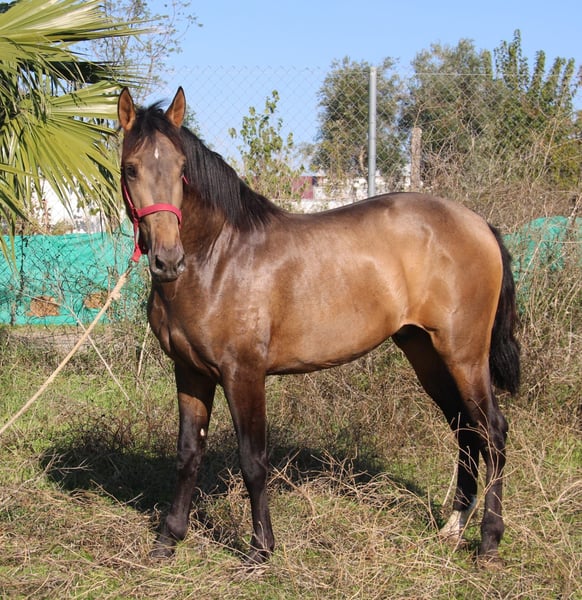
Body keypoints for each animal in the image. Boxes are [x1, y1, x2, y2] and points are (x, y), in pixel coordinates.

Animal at [117, 87, 520, 567]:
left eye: (181, 169)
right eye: (131, 167)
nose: (167, 260)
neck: (217, 259)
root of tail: (478, 223)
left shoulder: (243, 374)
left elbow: (253, 460)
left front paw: (260, 549)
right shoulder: (191, 372)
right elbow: (188, 453)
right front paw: (167, 540)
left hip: (464, 353)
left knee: (491, 432)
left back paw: (489, 542)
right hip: (425, 351)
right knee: (464, 428)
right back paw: (453, 527)